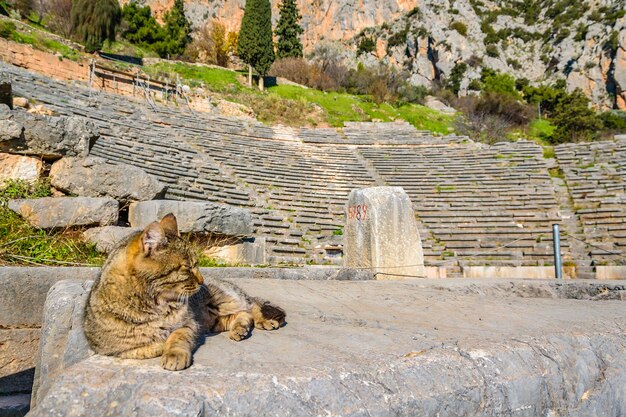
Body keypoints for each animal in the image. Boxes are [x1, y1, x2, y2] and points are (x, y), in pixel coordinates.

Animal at [83, 213, 286, 368]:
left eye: (197, 264)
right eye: (187, 268)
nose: (201, 280)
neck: (156, 304)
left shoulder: (188, 324)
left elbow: (177, 337)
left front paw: (174, 354)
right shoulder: (111, 348)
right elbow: (143, 348)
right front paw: (159, 343)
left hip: (224, 300)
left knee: (252, 306)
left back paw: (266, 321)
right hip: (213, 321)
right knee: (242, 315)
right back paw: (239, 329)